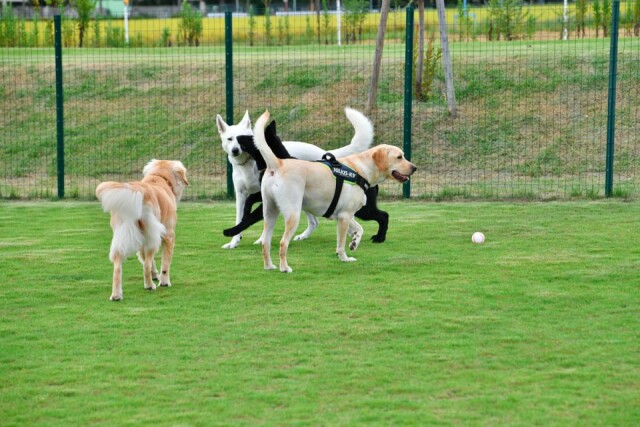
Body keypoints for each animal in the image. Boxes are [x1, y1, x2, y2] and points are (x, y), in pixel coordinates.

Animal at [95, 159, 189, 302]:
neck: (159, 177)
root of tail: (137, 190)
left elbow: (148, 260)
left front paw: (156, 276)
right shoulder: (168, 235)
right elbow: (165, 264)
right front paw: (164, 282)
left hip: (124, 236)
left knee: (118, 267)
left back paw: (116, 295)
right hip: (152, 237)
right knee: (146, 265)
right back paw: (149, 286)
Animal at [218, 107, 372, 249]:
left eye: (249, 137)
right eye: (230, 139)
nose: (235, 148)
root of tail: (325, 153)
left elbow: (252, 219)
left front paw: (238, 233)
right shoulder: (245, 194)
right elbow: (244, 211)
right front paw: (234, 240)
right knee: (316, 221)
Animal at [252, 111, 418, 274]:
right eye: (399, 157)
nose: (414, 167)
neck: (361, 168)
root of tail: (278, 163)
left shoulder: (345, 214)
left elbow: (360, 229)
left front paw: (354, 242)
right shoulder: (344, 217)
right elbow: (341, 243)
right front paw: (344, 258)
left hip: (270, 213)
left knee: (265, 242)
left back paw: (269, 266)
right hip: (293, 214)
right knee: (283, 243)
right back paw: (284, 268)